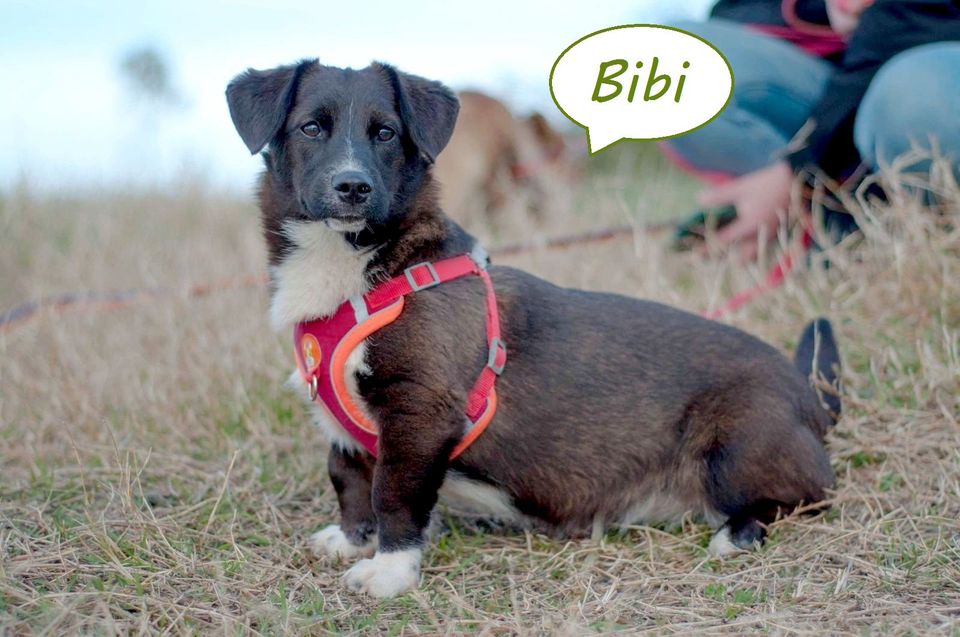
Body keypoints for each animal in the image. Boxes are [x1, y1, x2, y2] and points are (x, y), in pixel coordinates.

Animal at [225, 58, 840, 596]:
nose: (353, 187)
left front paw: (390, 571)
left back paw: (738, 535)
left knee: (804, 498)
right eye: (311, 128)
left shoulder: (419, 416)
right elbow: (350, 481)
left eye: (385, 133)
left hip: (736, 446)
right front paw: (356, 541)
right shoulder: (346, 431)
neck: (367, 270)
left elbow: (393, 497)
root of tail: (808, 393)